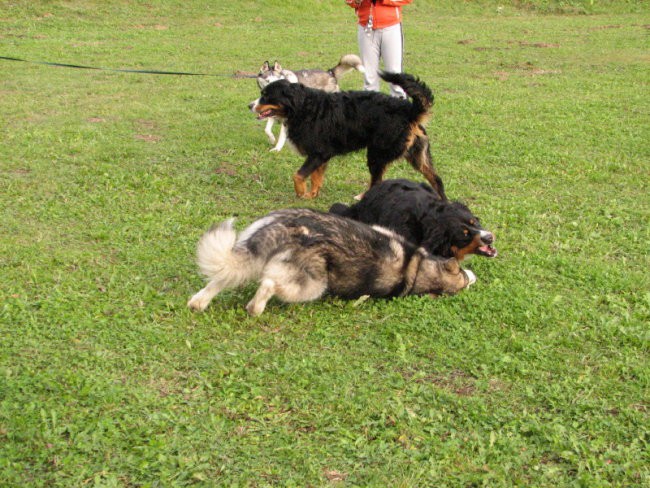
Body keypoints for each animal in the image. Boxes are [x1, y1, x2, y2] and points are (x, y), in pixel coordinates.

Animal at [185, 207, 474, 316]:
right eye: (461, 275)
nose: (473, 276)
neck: (417, 266)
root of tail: (291, 227)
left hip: (254, 250)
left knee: (225, 276)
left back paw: (200, 301)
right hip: (312, 284)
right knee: (268, 284)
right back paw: (255, 307)